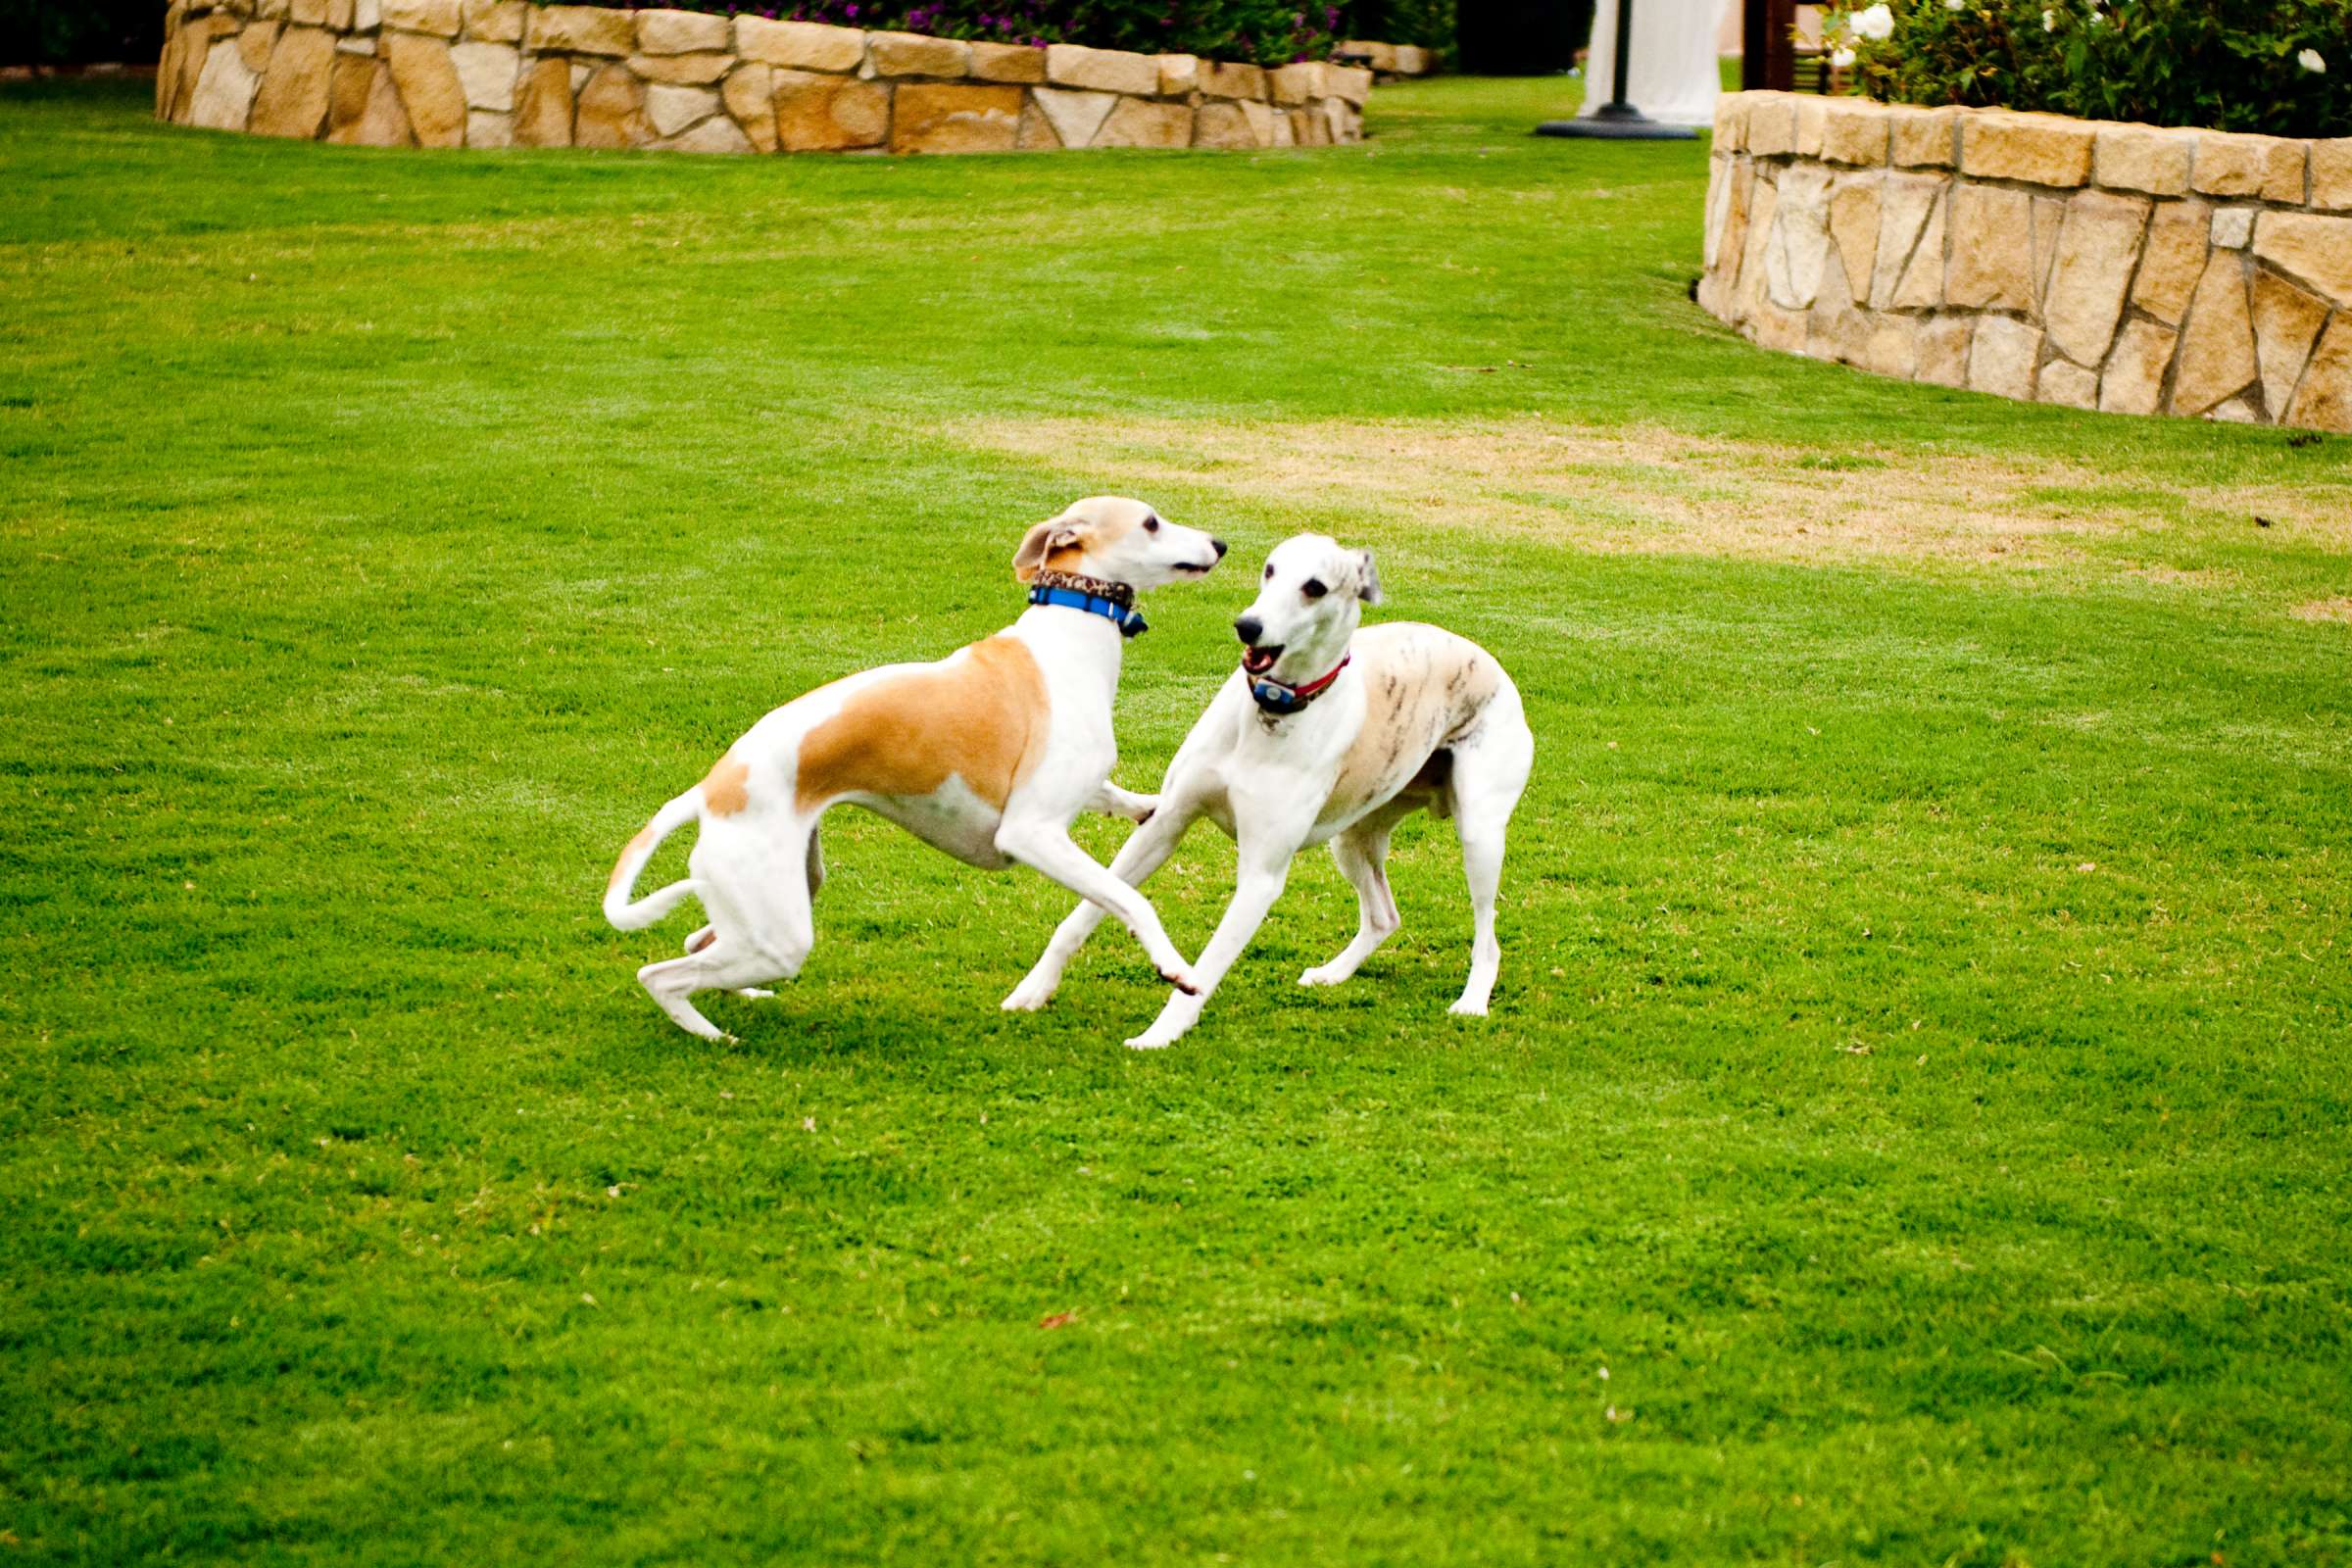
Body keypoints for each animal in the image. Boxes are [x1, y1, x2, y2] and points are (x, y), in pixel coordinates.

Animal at [602, 500, 1232, 1044]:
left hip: (790, 885)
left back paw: (742, 998)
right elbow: (1130, 900)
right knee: (659, 975)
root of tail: (711, 788)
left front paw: (1143, 805)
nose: (1221, 543)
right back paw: (714, 1036)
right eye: (1151, 522)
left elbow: (1110, 795)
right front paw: (1177, 969)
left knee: (698, 939)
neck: (1065, 637)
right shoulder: (1031, 833)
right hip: (780, 928)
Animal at [1002, 533, 1533, 1048]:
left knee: (1488, 936)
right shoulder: (1165, 823)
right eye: (1270, 569)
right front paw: (1033, 989)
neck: (1272, 711)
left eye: (1315, 586)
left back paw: (1472, 1001)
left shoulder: (1260, 877)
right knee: (1384, 916)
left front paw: (1159, 1035)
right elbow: (1086, 911)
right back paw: (1331, 974)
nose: (1247, 626)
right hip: (1353, 839)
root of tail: (1489, 662)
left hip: (1480, 836)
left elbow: (1204, 970)